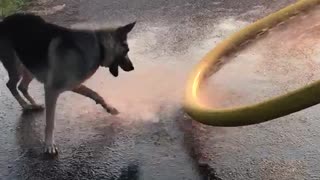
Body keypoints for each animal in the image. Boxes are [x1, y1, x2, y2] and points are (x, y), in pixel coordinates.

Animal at [0, 13, 136, 155]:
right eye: (127, 50)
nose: (132, 68)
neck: (99, 46)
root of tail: (3, 22)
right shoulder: (51, 90)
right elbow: (50, 122)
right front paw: (49, 144)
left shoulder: (73, 85)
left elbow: (95, 94)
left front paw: (110, 108)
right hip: (16, 67)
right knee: (11, 85)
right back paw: (25, 105)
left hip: (30, 67)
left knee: (22, 86)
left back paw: (34, 104)